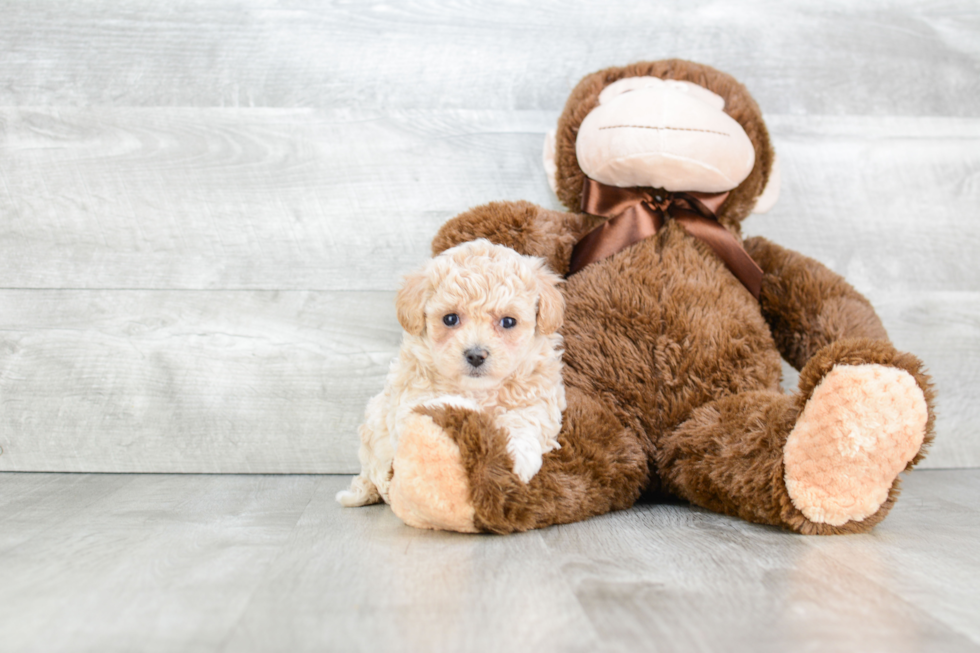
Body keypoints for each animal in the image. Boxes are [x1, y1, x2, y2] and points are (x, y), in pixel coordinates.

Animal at [336, 237, 568, 506]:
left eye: (508, 322)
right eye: (450, 319)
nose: (476, 355)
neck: (478, 391)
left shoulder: (537, 400)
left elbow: (523, 422)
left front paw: (514, 461)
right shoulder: (412, 396)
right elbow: (436, 410)